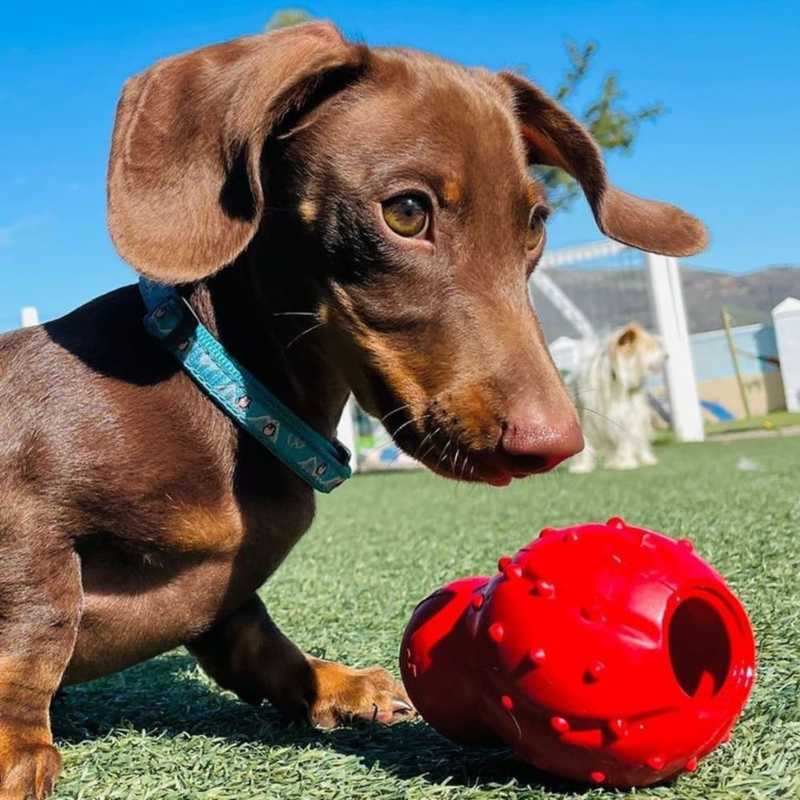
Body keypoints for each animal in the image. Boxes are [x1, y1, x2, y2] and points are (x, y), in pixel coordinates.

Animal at [568, 324, 668, 472]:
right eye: (650, 348)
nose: (667, 355)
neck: (613, 376)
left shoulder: (625, 416)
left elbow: (626, 440)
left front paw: (626, 463)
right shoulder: (587, 419)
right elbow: (586, 445)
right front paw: (582, 467)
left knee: (640, 440)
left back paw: (646, 459)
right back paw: (611, 462)